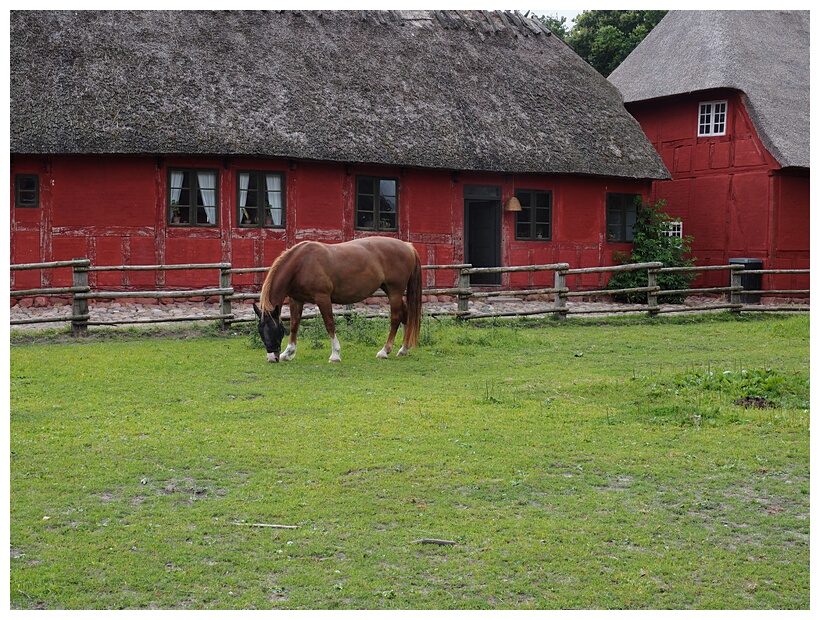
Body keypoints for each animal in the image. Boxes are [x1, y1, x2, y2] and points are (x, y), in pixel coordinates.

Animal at [253, 237, 422, 364]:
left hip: (395, 292)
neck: (301, 263)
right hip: (390, 290)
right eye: (261, 331)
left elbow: (329, 324)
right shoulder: (296, 299)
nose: (272, 358)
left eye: (276, 330)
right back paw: (403, 349)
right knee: (406, 315)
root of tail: (408, 247)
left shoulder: (323, 297)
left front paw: (335, 355)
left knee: (395, 319)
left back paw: (385, 351)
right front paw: (288, 353)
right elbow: (294, 325)